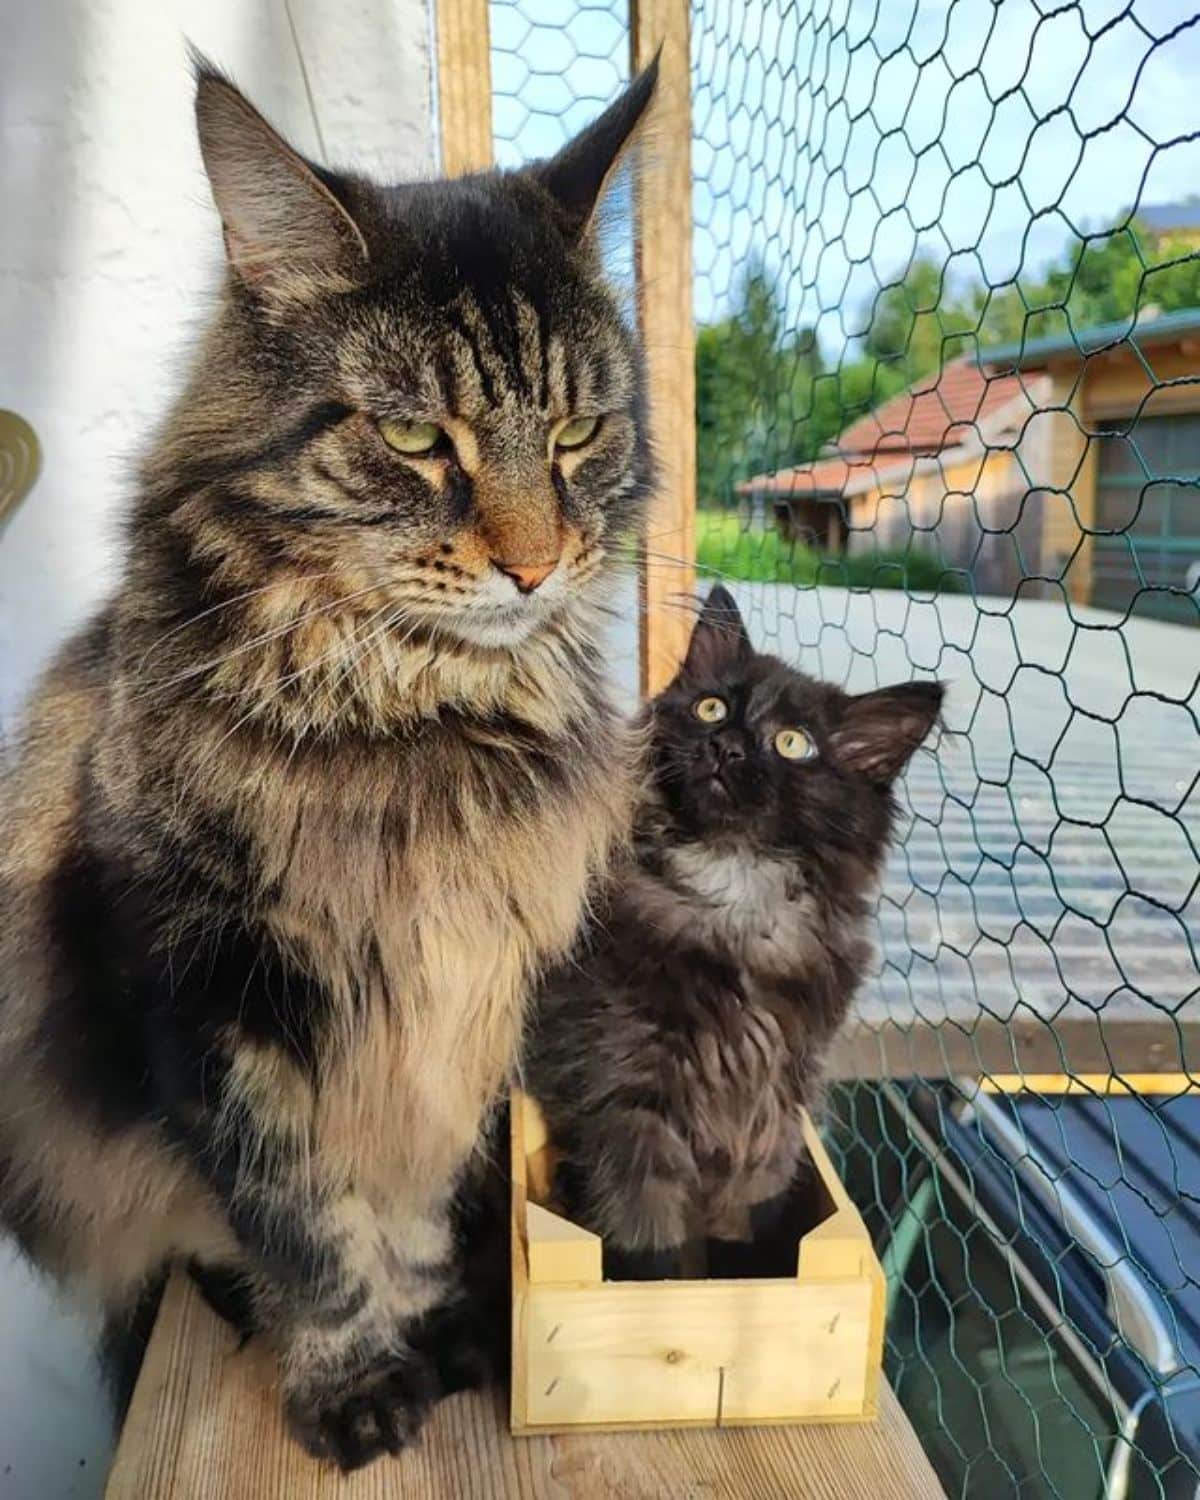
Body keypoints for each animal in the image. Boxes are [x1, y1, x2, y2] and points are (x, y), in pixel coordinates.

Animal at [0, 55, 657, 1464]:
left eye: (576, 435)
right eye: (414, 441)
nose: (534, 565)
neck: (413, 724)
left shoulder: (464, 1007)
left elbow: (412, 1216)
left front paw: (441, 1333)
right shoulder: (209, 995)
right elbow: (303, 1230)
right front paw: (352, 1379)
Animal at [531, 585, 942, 1278]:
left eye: (794, 744)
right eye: (711, 707)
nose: (726, 746)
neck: (733, 888)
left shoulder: (769, 1112)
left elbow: (743, 1232)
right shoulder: (628, 1099)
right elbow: (650, 1243)